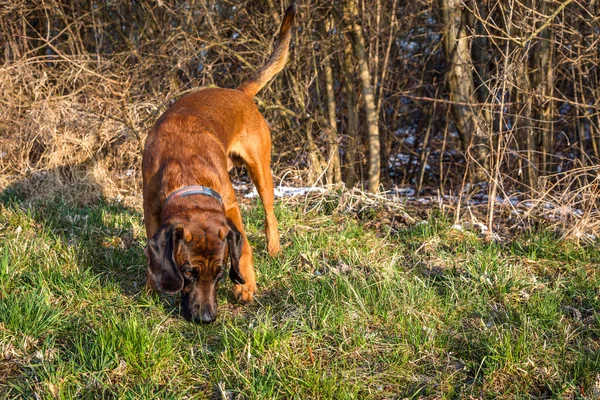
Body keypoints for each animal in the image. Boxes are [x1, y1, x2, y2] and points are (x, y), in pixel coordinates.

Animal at [144, 4, 298, 324]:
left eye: (219, 274)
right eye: (188, 273)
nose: (206, 319)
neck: (185, 173)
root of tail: (238, 92)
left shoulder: (230, 206)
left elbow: (245, 245)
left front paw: (246, 286)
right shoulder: (150, 209)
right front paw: (152, 287)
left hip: (260, 169)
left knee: (269, 212)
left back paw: (274, 247)